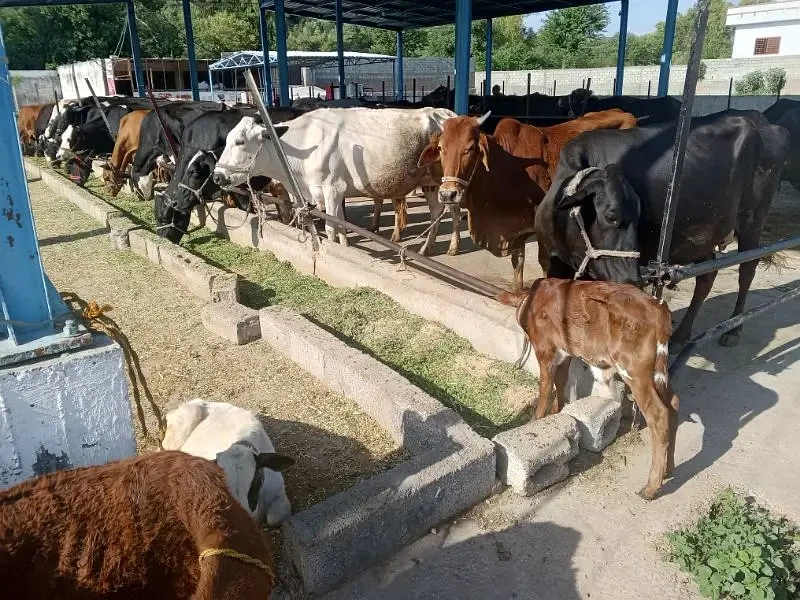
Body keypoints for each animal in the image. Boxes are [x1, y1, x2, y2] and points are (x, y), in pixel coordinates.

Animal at [212, 107, 459, 255]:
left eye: (240, 141)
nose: (217, 175)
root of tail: (446, 113)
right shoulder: (334, 193)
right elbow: (341, 226)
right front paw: (345, 249)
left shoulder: (331, 189)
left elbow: (331, 228)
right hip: (430, 184)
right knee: (437, 213)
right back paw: (425, 249)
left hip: (450, 183)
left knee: (455, 213)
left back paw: (453, 248)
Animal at [499, 278, 679, 500]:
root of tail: (657, 306)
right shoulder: (565, 352)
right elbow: (561, 382)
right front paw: (556, 411)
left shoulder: (545, 349)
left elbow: (545, 388)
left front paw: (535, 420)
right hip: (658, 371)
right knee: (673, 405)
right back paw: (668, 469)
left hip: (634, 370)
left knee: (659, 414)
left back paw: (651, 488)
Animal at [535, 109, 790, 350]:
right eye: (611, 216)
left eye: (640, 214)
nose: (631, 280)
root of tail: (764, 123)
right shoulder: (552, 261)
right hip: (704, 235)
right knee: (707, 276)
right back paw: (680, 336)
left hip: (752, 221)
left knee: (747, 269)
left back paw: (733, 329)